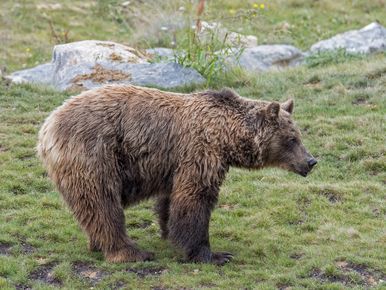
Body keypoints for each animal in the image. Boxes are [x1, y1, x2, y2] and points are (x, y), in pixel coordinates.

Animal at [37, 84, 316, 266]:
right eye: (292, 139)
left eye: (299, 135)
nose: (311, 161)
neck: (227, 137)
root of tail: (47, 126)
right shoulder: (199, 153)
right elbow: (194, 201)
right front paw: (214, 254)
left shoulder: (174, 165)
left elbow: (170, 201)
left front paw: (168, 232)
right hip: (95, 154)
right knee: (103, 205)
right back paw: (131, 252)